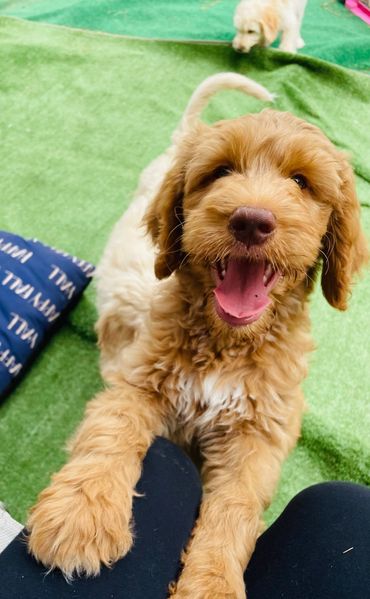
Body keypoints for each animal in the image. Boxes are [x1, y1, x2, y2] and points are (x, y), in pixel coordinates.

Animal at [28, 72, 368, 596]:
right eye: (220, 172)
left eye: (301, 182)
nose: (251, 220)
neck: (225, 342)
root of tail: (184, 137)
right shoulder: (138, 382)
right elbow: (110, 432)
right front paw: (80, 515)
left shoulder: (260, 434)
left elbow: (234, 509)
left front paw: (212, 584)